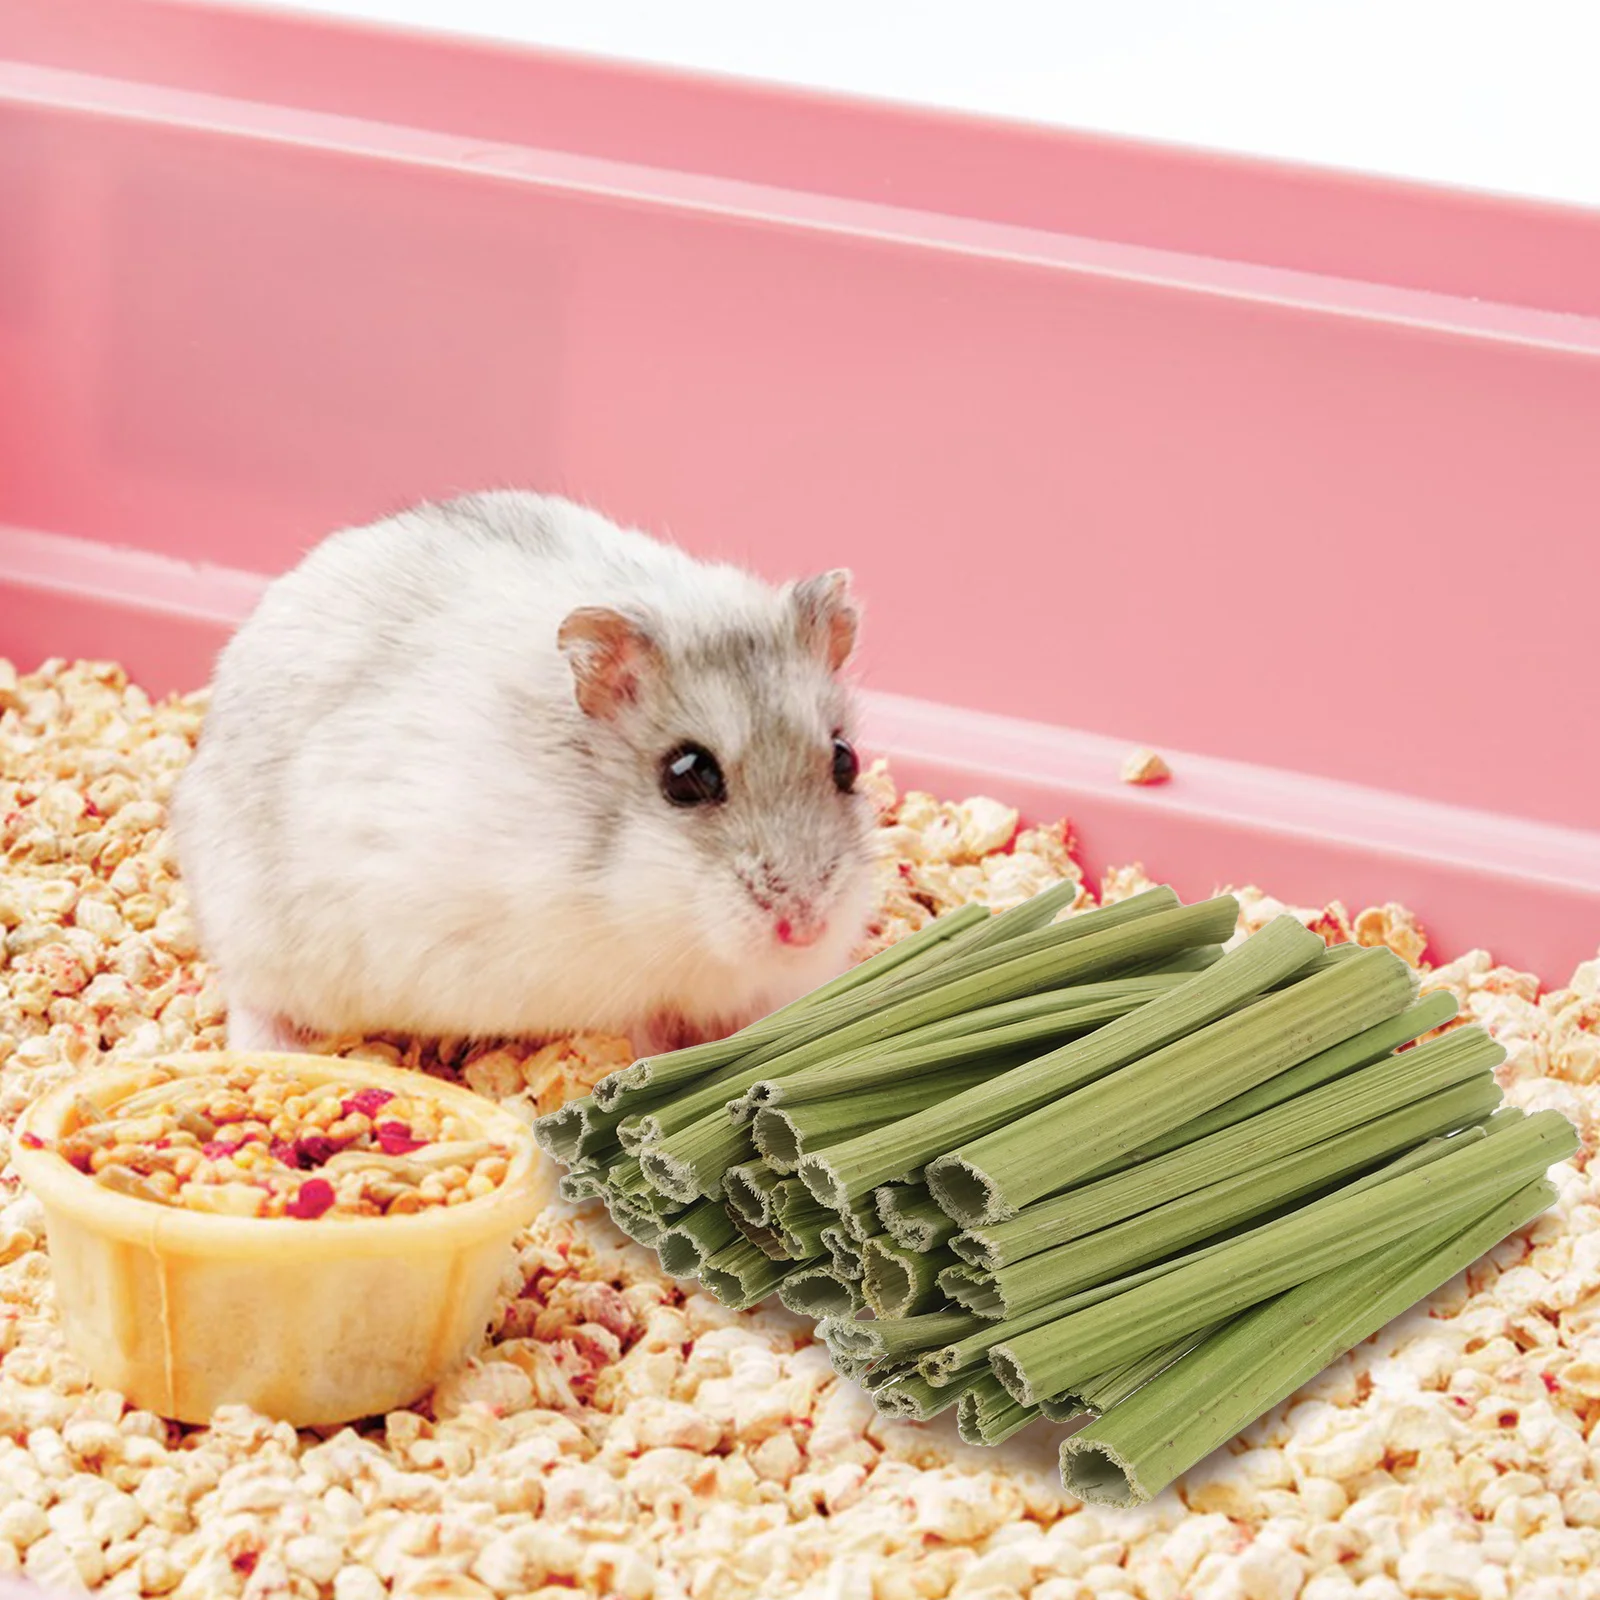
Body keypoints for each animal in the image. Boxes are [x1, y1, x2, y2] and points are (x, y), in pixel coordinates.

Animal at [171, 491, 879, 1058]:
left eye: (846, 760)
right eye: (686, 776)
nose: (806, 926)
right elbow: (639, 1030)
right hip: (257, 933)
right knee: (251, 999)